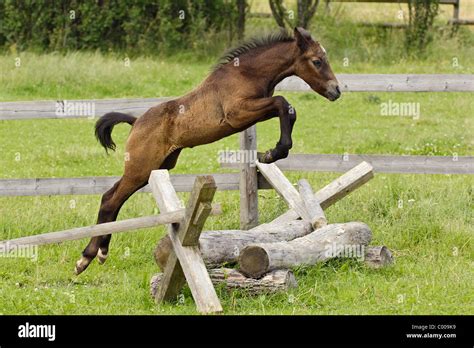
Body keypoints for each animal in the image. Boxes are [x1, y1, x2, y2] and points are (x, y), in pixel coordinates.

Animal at [75, 27, 340, 274]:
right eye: (317, 61)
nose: (336, 91)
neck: (246, 73)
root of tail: (136, 121)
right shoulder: (238, 114)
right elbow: (283, 103)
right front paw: (272, 153)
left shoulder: (254, 112)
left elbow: (287, 109)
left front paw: (271, 152)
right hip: (141, 168)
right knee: (110, 200)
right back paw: (86, 258)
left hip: (154, 168)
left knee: (112, 197)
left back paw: (100, 252)